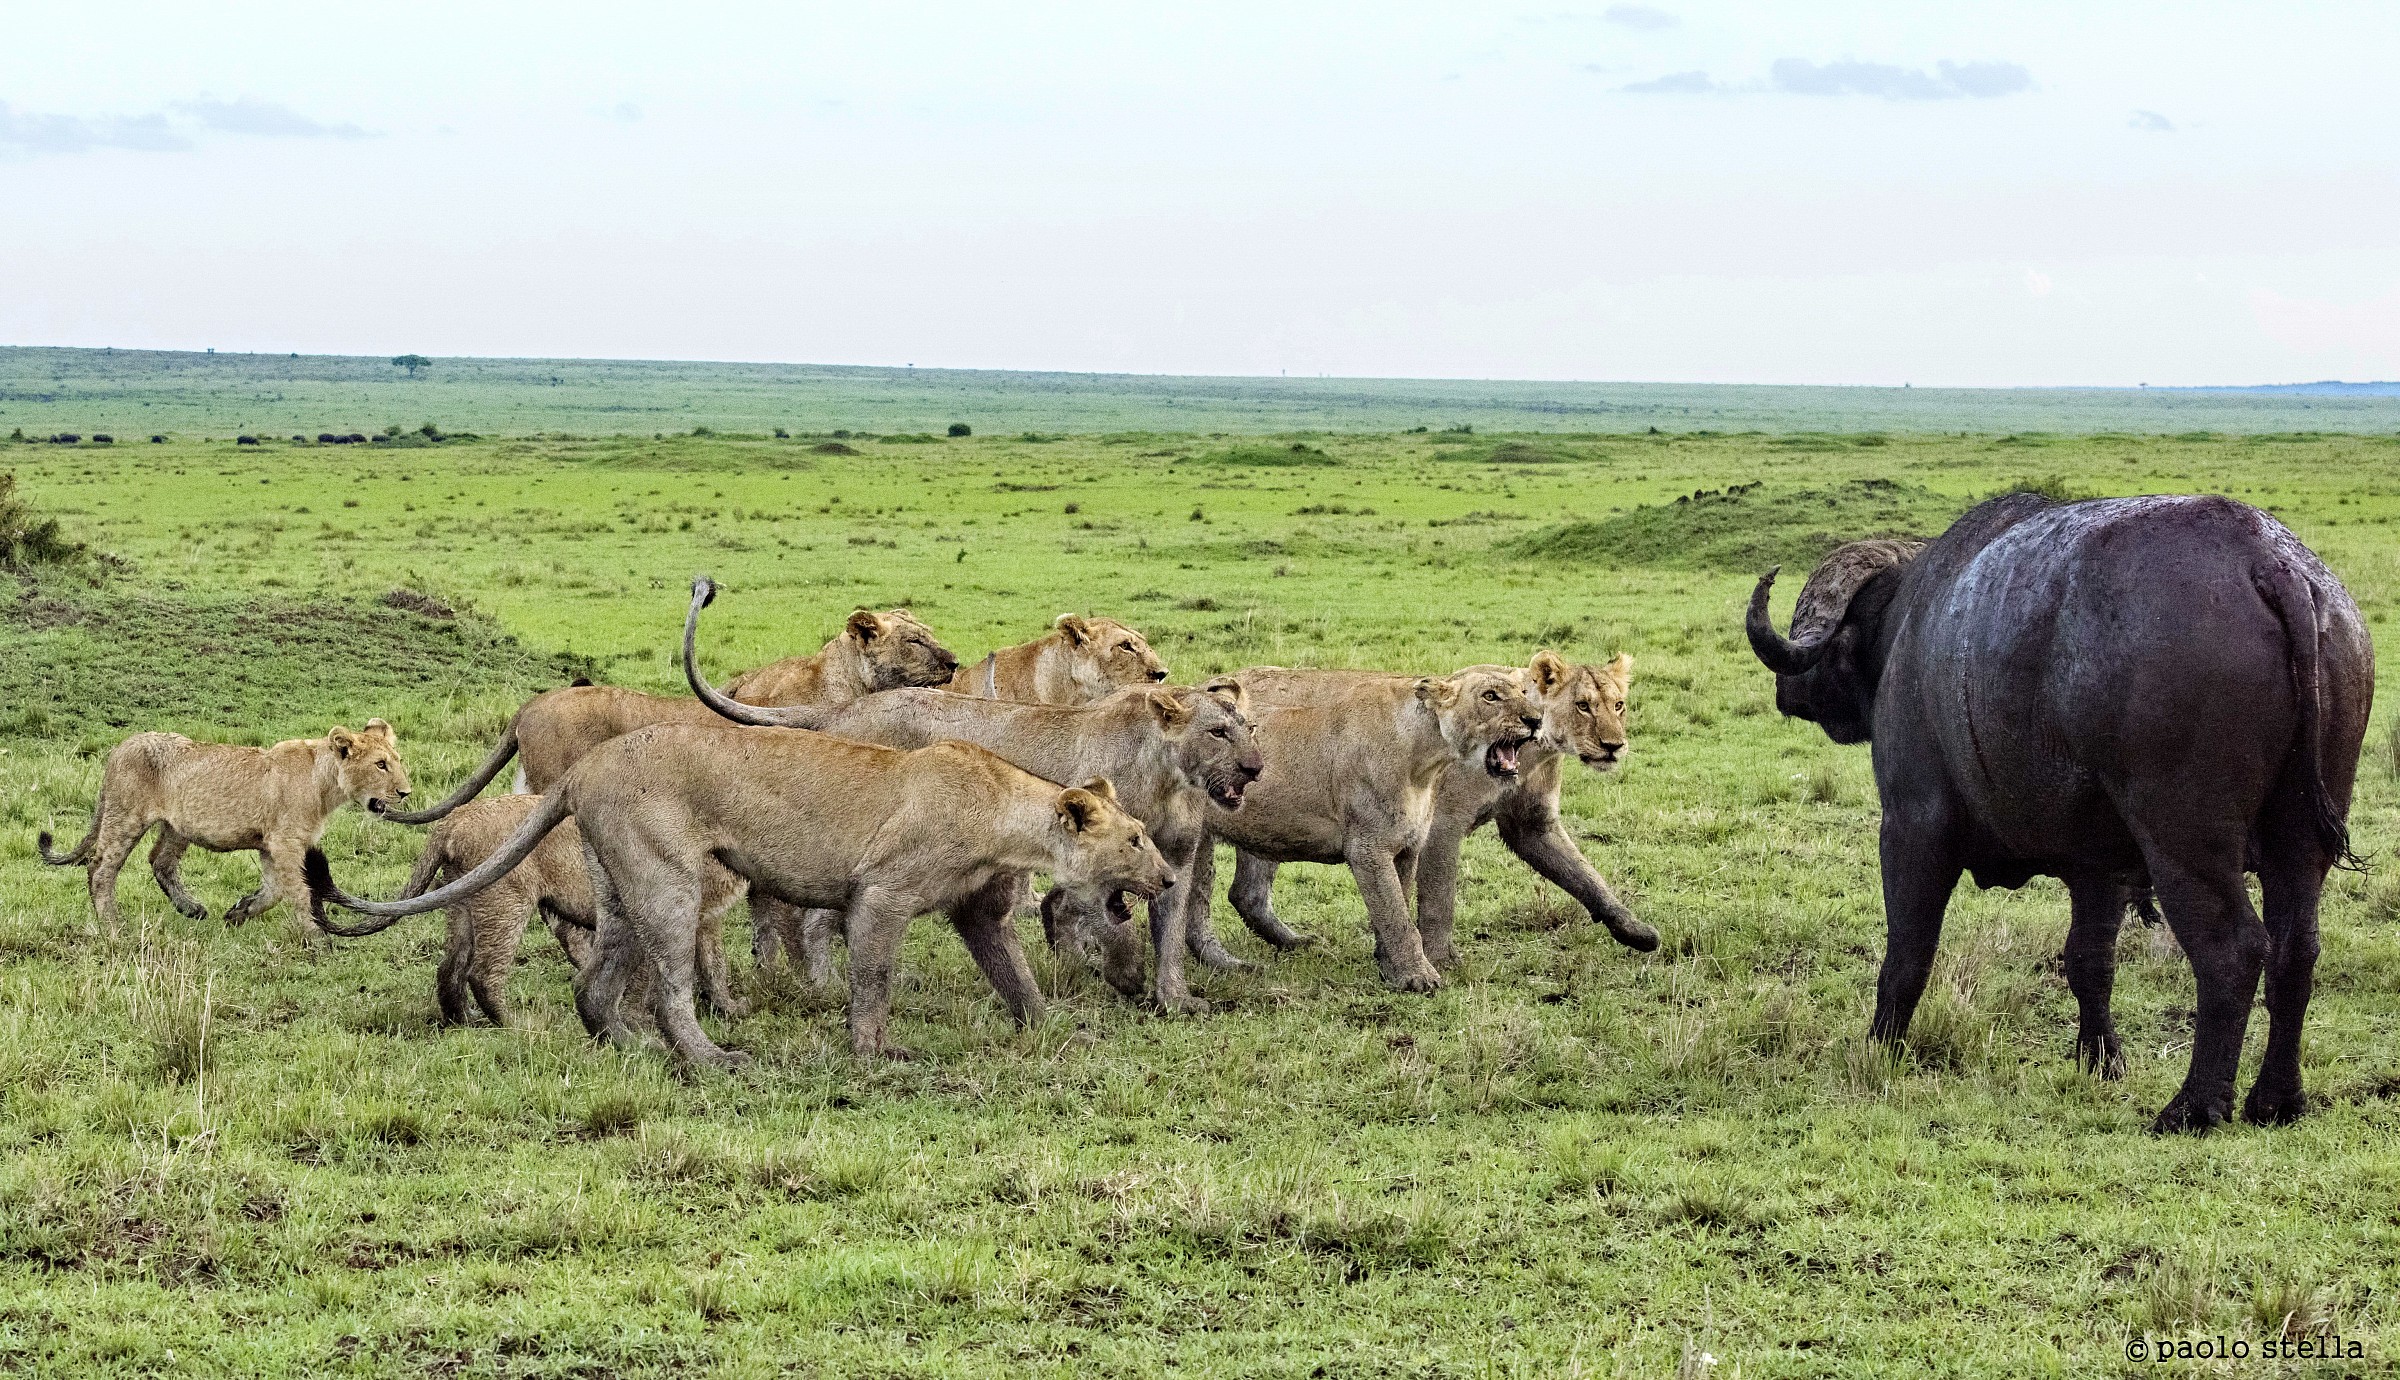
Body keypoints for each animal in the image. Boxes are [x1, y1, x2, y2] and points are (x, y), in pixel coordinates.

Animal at [1747, 493, 2372, 1132]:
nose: (1787, 693)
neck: (1909, 624)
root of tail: (2268, 561)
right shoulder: (2100, 868)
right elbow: (2089, 961)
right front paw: (2100, 1060)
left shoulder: (1911, 827)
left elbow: (1908, 952)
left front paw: (1879, 1048)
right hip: (2299, 847)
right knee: (2296, 951)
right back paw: (2276, 1099)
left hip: (2186, 844)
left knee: (2234, 951)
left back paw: (2194, 1106)